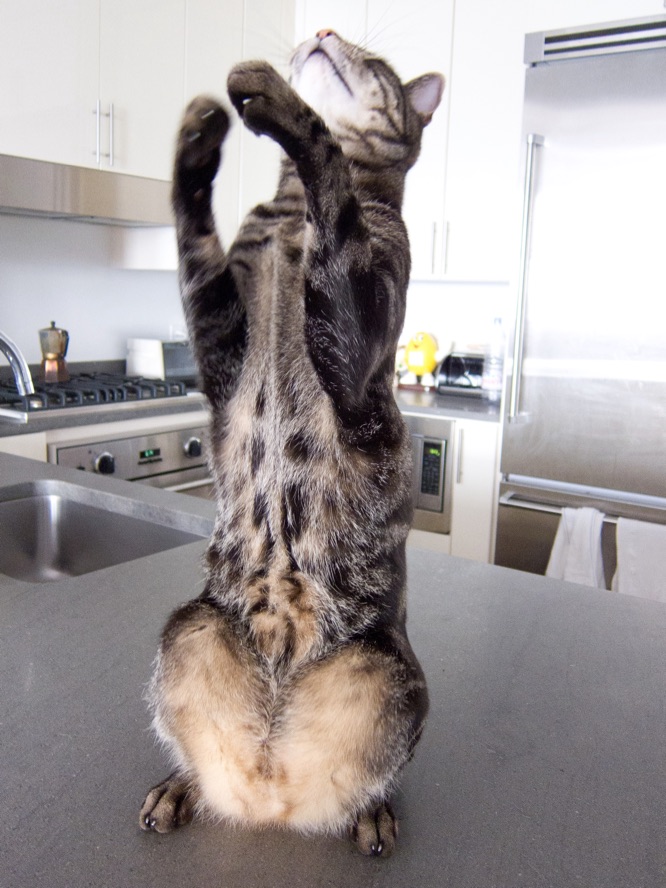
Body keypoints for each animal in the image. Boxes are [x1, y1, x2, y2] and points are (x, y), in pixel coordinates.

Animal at [138, 31, 444, 856]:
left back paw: (372, 812)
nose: (327, 30)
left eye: (376, 61)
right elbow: (191, 233)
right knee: (201, 757)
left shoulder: (356, 316)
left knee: (371, 778)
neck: (286, 217)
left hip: (387, 672)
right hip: (190, 628)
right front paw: (196, 137)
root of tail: (270, 788)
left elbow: (329, 168)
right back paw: (182, 787)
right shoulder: (219, 334)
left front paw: (277, 101)